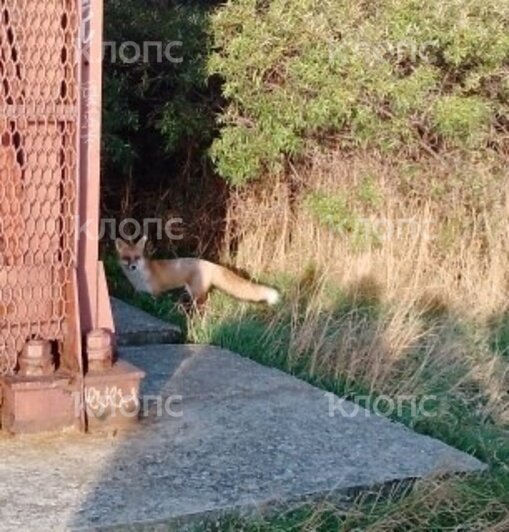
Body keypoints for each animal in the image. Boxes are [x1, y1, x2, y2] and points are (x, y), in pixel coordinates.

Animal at [115, 238, 280, 308]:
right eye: (126, 258)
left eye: (137, 257)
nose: (133, 267)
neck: (140, 277)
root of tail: (210, 264)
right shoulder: (139, 293)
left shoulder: (156, 293)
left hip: (196, 294)